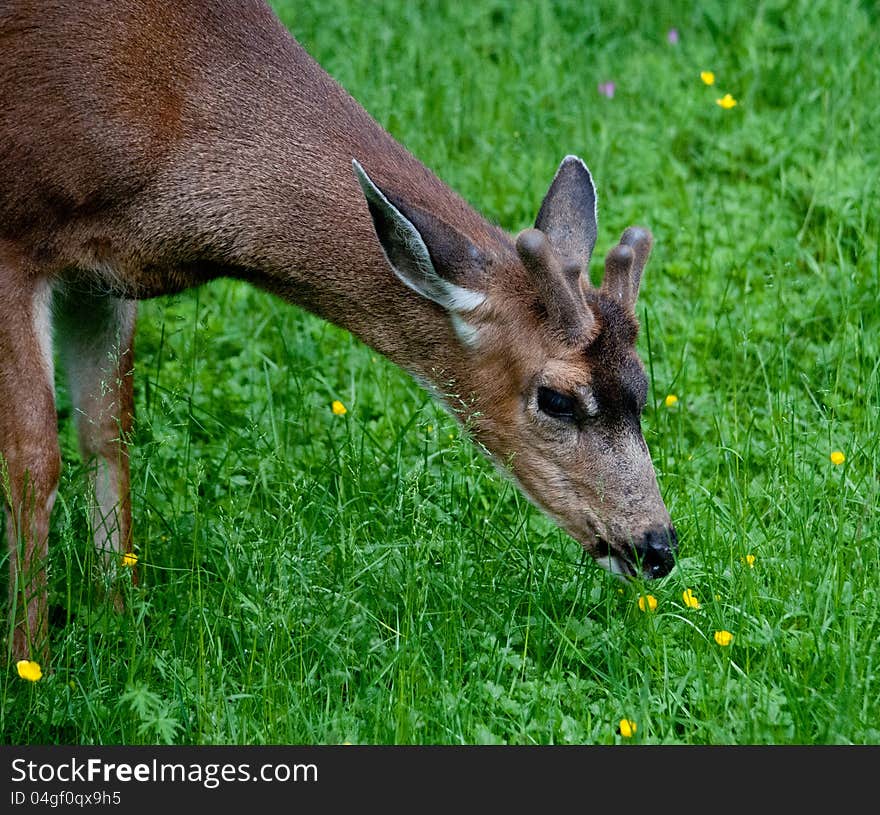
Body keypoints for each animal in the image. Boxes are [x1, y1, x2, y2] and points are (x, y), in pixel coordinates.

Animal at [0, 0, 676, 664]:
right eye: (556, 398)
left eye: (642, 388)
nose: (658, 546)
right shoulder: (17, 239)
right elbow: (34, 461)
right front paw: (30, 661)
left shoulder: (105, 278)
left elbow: (107, 434)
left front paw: (119, 618)